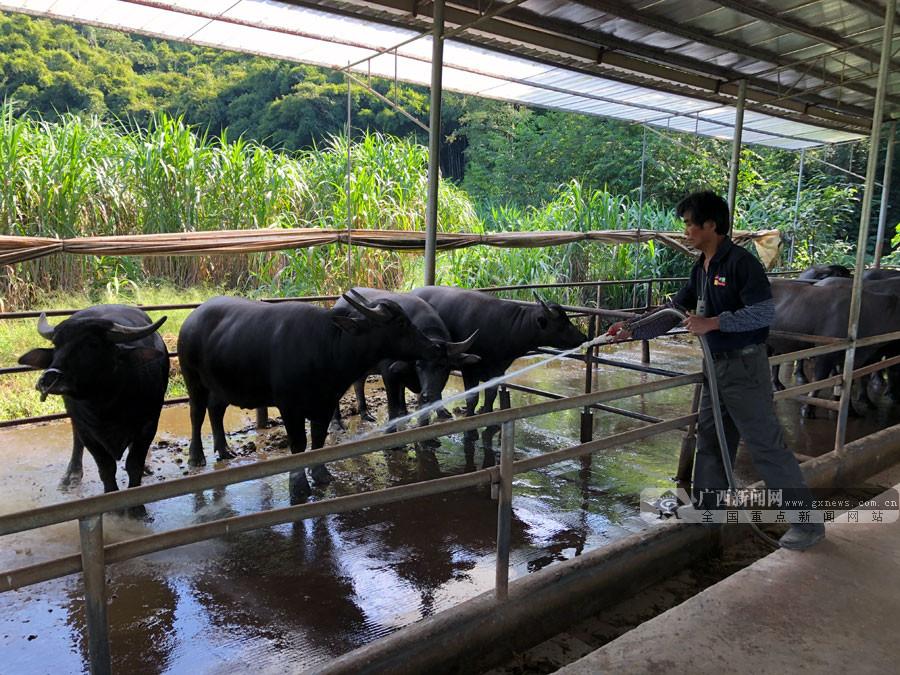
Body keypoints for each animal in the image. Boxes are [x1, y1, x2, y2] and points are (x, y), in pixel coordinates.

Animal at [16, 306, 168, 516]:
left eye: (92, 344)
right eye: (56, 344)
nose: (49, 378)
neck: (106, 405)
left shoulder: (148, 425)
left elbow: (133, 464)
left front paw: (136, 507)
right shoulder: (88, 432)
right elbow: (106, 467)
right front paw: (111, 503)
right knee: (76, 439)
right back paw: (71, 474)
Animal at [332, 290, 486, 428]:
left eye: (443, 365)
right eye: (418, 365)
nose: (427, 395)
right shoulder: (389, 374)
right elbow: (393, 405)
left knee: (359, 382)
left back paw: (366, 414)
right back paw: (336, 422)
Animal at [412, 286, 588, 414]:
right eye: (562, 324)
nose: (583, 337)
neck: (509, 329)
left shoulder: (497, 370)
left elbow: (490, 395)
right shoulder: (469, 368)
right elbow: (472, 399)